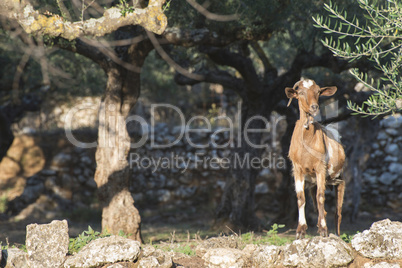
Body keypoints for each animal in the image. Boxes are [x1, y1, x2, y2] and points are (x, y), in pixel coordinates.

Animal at [286, 78, 346, 238]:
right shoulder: (298, 169)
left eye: (318, 92)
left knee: (338, 211)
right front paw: (300, 230)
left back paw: (336, 233)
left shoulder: (320, 168)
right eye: (300, 92)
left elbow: (321, 197)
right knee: (321, 208)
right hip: (313, 182)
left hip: (338, 178)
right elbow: (301, 198)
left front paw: (324, 230)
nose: (314, 107)